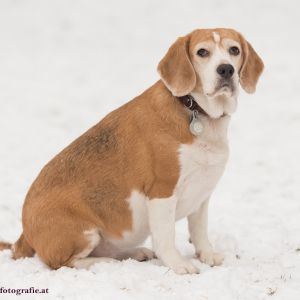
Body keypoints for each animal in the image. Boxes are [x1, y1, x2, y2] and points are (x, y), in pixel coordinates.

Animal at [0, 27, 262, 274]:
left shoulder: (202, 192)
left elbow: (199, 231)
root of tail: (23, 236)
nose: (226, 70)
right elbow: (166, 237)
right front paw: (178, 264)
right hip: (84, 233)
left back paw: (134, 253)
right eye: (202, 52)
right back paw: (104, 263)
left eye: (234, 50)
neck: (194, 107)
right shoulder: (162, 190)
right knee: (65, 263)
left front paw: (207, 254)